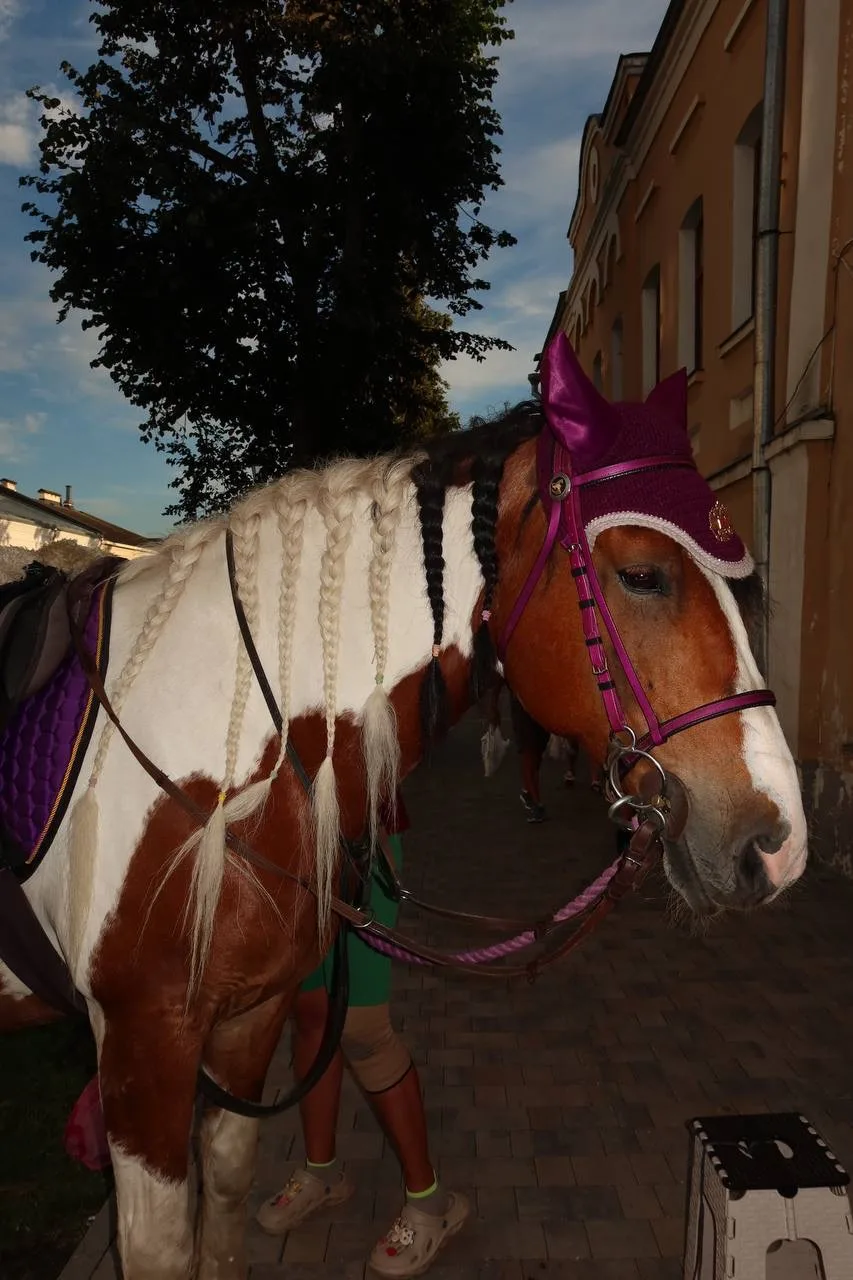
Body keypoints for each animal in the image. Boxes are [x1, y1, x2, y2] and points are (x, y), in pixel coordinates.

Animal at [0, 333, 807, 1279]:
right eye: (642, 575)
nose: (778, 840)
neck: (216, 760)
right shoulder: (141, 1050)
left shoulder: (245, 1020)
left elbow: (225, 1196)